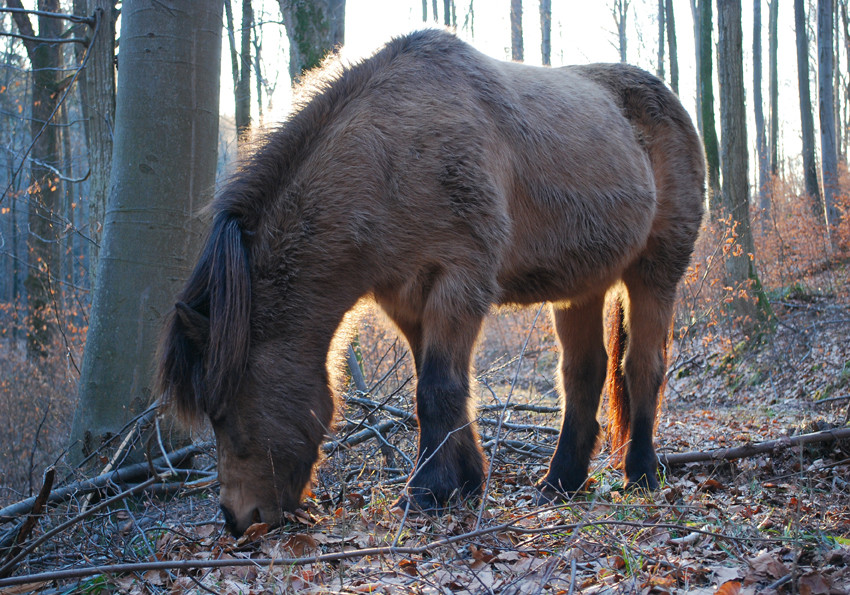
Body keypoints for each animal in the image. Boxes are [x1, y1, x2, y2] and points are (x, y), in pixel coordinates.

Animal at [157, 30, 704, 536]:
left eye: (225, 411)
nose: (237, 519)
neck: (390, 158)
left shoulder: (458, 284)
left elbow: (438, 389)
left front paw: (426, 492)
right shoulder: (407, 300)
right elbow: (440, 388)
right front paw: (464, 482)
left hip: (656, 273)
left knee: (642, 367)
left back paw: (641, 473)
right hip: (581, 288)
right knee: (583, 373)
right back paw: (561, 481)